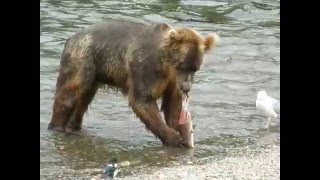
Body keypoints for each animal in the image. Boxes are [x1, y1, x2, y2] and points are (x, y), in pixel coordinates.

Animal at [47, 19, 219, 147]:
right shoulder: (145, 67)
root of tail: (70, 38)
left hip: (95, 73)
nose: (187, 88)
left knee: (83, 100)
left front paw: (180, 132)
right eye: (182, 65)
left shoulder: (171, 80)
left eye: (195, 68)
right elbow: (142, 100)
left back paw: (73, 126)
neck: (165, 63)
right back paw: (58, 127)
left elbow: (172, 105)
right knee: (70, 93)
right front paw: (173, 138)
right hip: (83, 59)